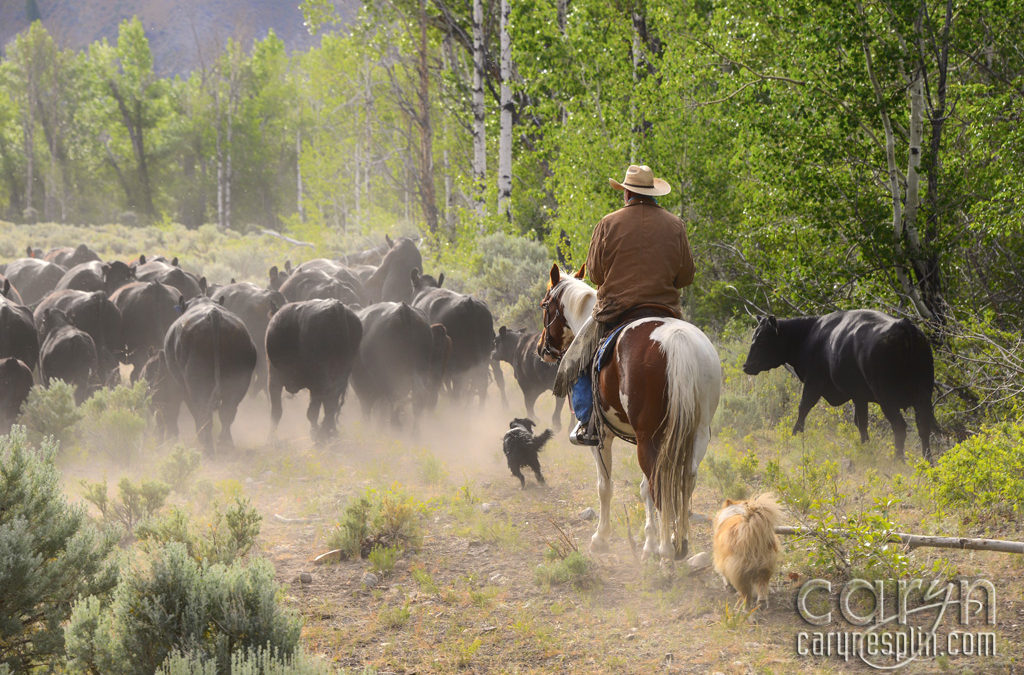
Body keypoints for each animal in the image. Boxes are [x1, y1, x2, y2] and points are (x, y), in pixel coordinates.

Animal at [161, 299, 256, 450]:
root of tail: (213, 314)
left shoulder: (184, 388)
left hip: (198, 382)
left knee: (204, 413)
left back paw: (207, 445)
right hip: (239, 381)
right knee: (227, 411)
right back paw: (224, 444)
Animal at [266, 299, 362, 438]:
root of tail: (336, 307)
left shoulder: (274, 378)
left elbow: (276, 411)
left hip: (319, 380)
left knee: (319, 406)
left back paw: (321, 432)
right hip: (340, 374)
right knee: (330, 403)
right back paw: (329, 431)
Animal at [536, 266, 720, 561]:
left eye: (545, 305)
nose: (543, 348)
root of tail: (676, 342)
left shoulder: (601, 438)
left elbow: (605, 486)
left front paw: (601, 538)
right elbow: (644, 490)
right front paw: (649, 542)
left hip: (648, 438)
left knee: (659, 484)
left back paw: (667, 551)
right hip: (696, 434)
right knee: (685, 481)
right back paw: (679, 542)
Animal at [741, 313, 937, 462]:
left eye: (761, 340)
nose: (746, 366)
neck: (809, 335)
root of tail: (904, 326)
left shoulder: (814, 382)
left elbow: (803, 407)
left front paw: (795, 435)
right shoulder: (859, 396)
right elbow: (861, 422)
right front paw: (865, 446)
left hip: (886, 397)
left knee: (900, 426)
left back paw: (898, 459)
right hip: (923, 395)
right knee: (923, 427)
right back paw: (927, 460)